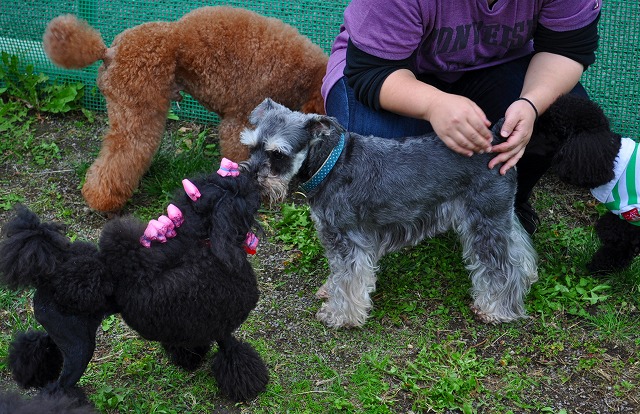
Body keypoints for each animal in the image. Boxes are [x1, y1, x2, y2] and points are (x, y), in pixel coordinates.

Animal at [0, 165, 268, 402]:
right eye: (240, 191)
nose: (257, 179)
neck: (198, 238)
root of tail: (49, 277)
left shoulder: (190, 322)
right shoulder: (220, 323)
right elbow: (233, 352)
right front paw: (250, 387)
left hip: (62, 332)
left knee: (39, 344)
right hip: (80, 349)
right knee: (60, 387)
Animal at [42, 6, 328, 213]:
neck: (300, 74)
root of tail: (109, 50)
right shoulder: (240, 120)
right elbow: (240, 153)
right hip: (139, 109)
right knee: (124, 154)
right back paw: (104, 200)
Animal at [238, 99, 539, 328]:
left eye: (278, 154)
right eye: (251, 146)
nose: (246, 180)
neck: (330, 164)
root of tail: (495, 138)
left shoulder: (348, 240)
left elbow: (348, 280)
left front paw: (340, 315)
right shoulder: (336, 239)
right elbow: (337, 273)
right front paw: (329, 290)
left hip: (484, 220)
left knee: (502, 267)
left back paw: (496, 309)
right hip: (498, 214)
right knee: (519, 246)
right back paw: (528, 276)